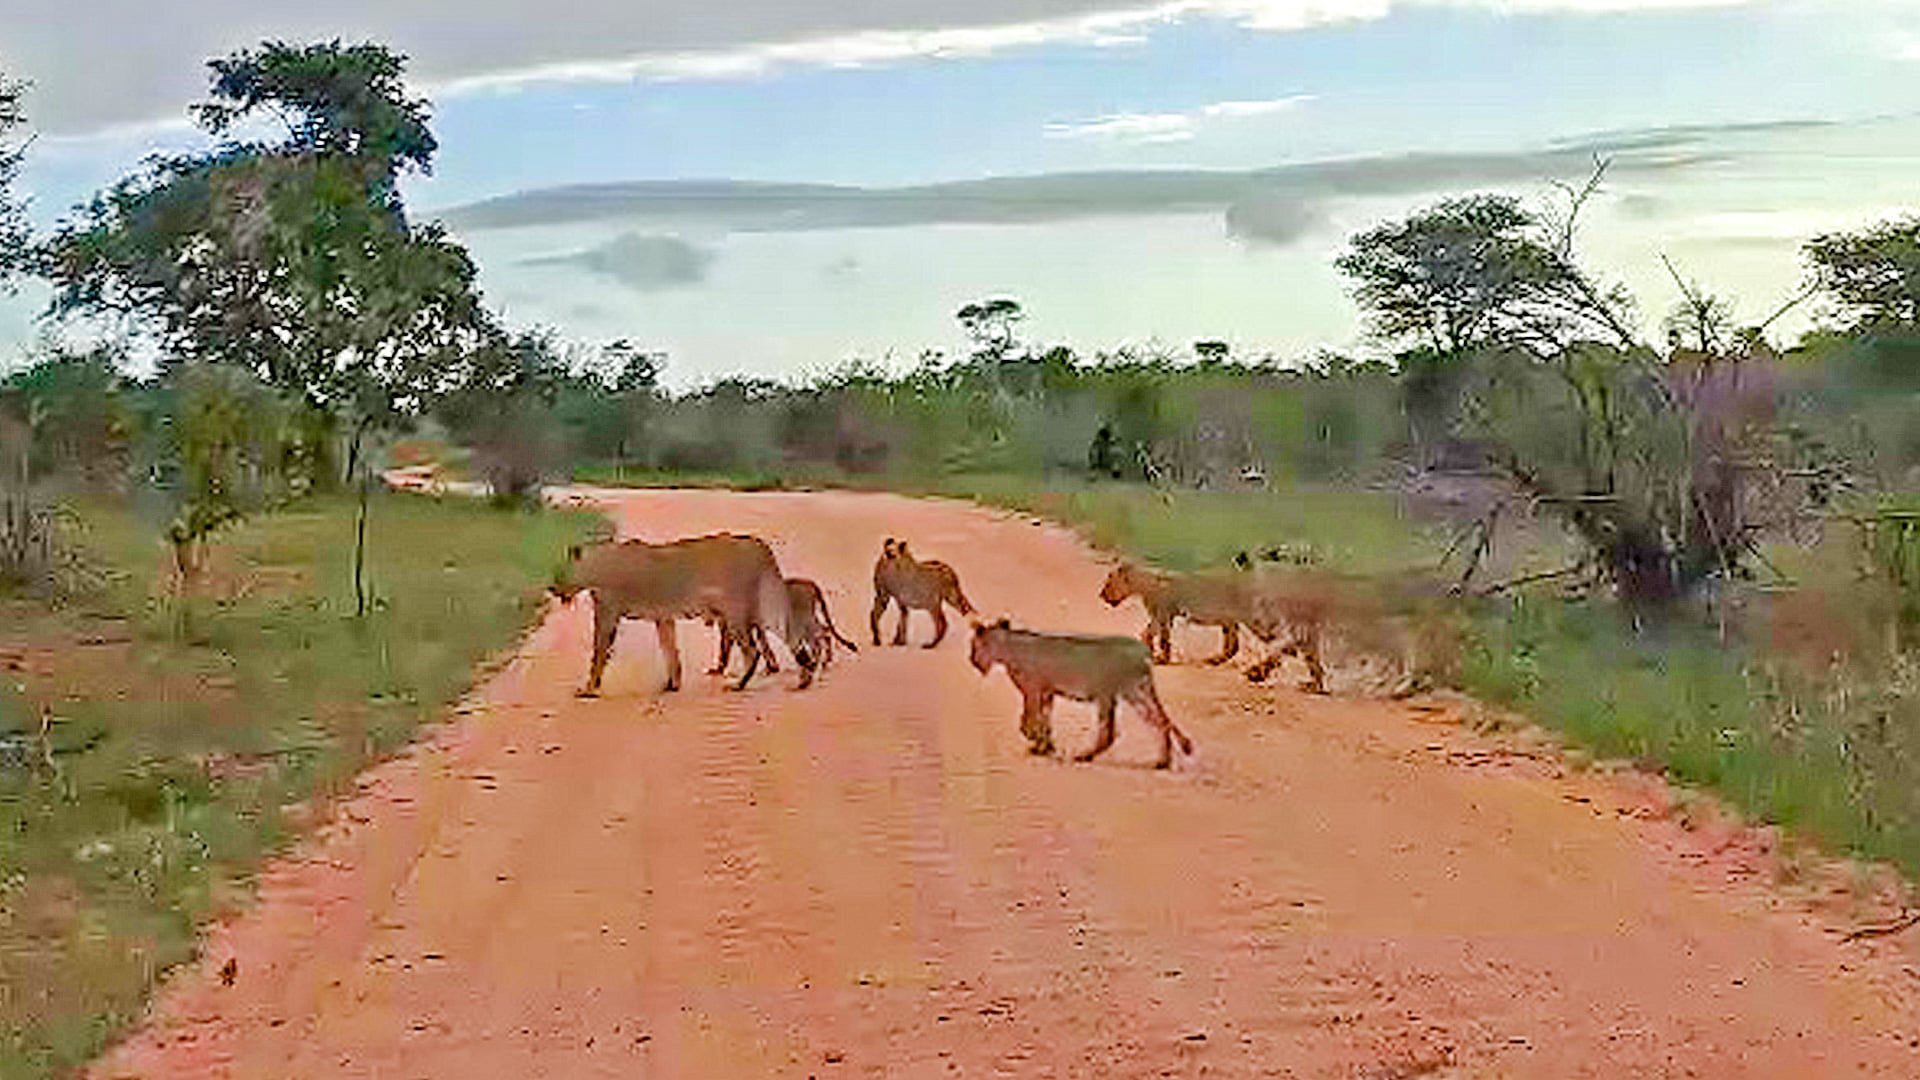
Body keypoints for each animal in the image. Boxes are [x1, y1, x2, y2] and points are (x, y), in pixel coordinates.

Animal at [548, 532, 810, 695]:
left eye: (559, 572)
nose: (552, 588)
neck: (597, 565)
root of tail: (757, 544)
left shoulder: (607, 614)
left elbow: (599, 653)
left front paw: (589, 689)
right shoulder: (663, 617)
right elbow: (670, 650)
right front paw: (672, 685)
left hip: (737, 611)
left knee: (753, 650)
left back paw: (739, 685)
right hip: (758, 607)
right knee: (793, 639)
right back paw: (805, 678)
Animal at [968, 617, 1194, 770]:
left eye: (974, 645)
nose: (972, 660)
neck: (1007, 646)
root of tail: (1144, 652)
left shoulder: (1033, 689)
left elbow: (1028, 719)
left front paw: (1037, 743)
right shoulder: (1047, 691)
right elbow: (1043, 719)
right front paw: (1044, 746)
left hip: (1110, 693)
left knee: (1109, 733)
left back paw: (1084, 756)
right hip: (1136, 692)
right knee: (1161, 722)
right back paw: (1163, 761)